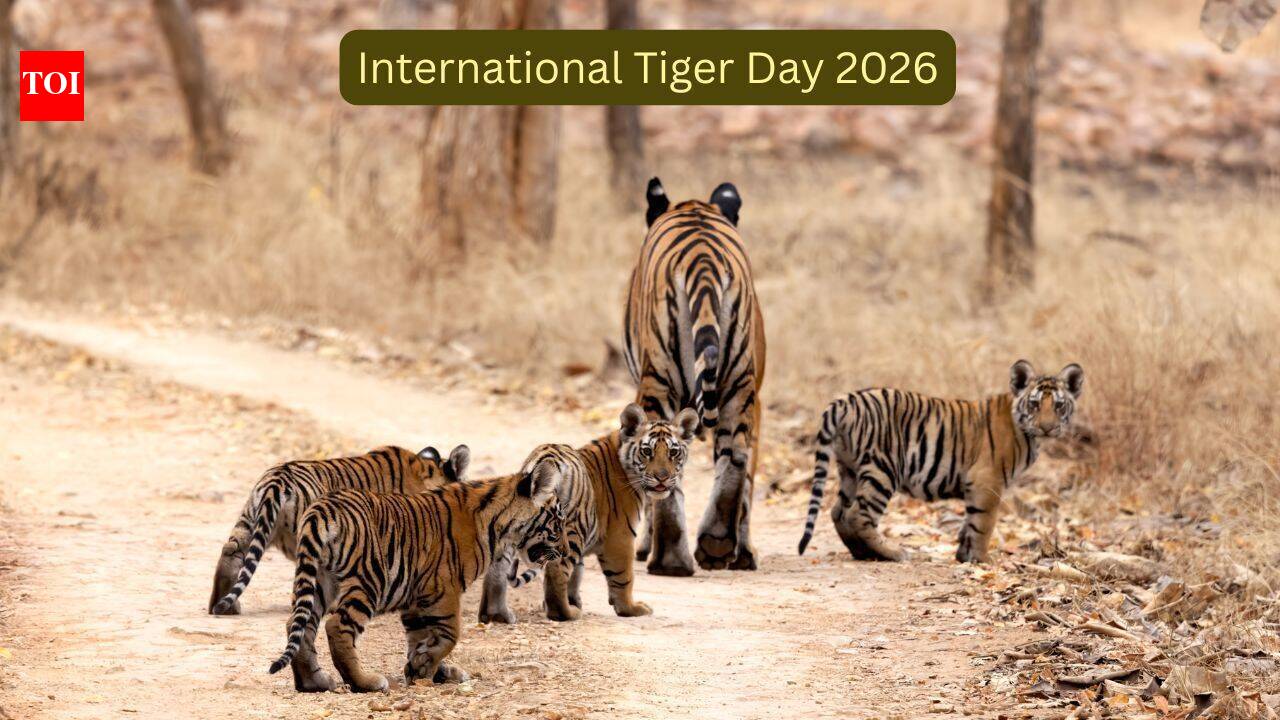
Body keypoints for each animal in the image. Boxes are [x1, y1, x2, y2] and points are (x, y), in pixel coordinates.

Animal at [267, 453, 565, 693]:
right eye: (558, 522)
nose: (563, 552)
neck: (500, 526)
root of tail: (322, 509)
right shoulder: (443, 590)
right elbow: (450, 634)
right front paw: (425, 669)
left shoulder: (415, 599)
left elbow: (421, 638)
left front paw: (426, 669)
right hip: (369, 580)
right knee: (337, 627)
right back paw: (365, 682)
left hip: (319, 579)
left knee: (298, 624)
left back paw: (313, 682)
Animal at [478, 403, 699, 623]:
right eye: (647, 451)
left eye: (673, 452)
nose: (662, 477)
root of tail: (548, 457)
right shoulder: (620, 536)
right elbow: (624, 575)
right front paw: (630, 608)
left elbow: (578, 573)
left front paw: (574, 600)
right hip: (571, 530)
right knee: (556, 571)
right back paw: (566, 613)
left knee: (497, 570)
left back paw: (496, 615)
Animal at [624, 177, 767, 575]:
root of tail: (702, 260)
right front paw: (743, 554)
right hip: (738, 383)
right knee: (736, 456)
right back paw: (716, 544)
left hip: (658, 381)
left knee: (662, 462)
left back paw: (669, 559)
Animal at [796, 360, 1084, 564]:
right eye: (1034, 404)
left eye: (1059, 406)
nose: (1048, 428)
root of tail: (845, 400)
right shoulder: (988, 481)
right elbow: (984, 524)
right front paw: (982, 560)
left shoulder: (975, 486)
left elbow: (969, 523)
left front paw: (963, 556)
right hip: (884, 469)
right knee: (858, 514)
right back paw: (892, 553)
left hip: (850, 469)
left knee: (838, 511)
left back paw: (863, 552)